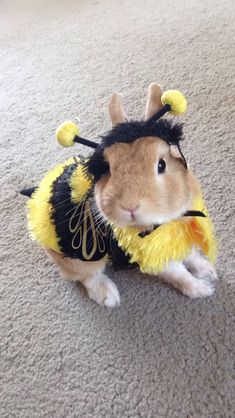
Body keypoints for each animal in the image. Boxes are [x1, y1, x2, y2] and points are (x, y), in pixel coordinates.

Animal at [22, 84, 217, 306]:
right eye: (107, 168)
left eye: (161, 165)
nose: (129, 206)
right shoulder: (153, 254)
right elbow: (178, 274)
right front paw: (202, 289)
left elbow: (190, 255)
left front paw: (208, 270)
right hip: (82, 258)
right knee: (87, 277)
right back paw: (108, 296)